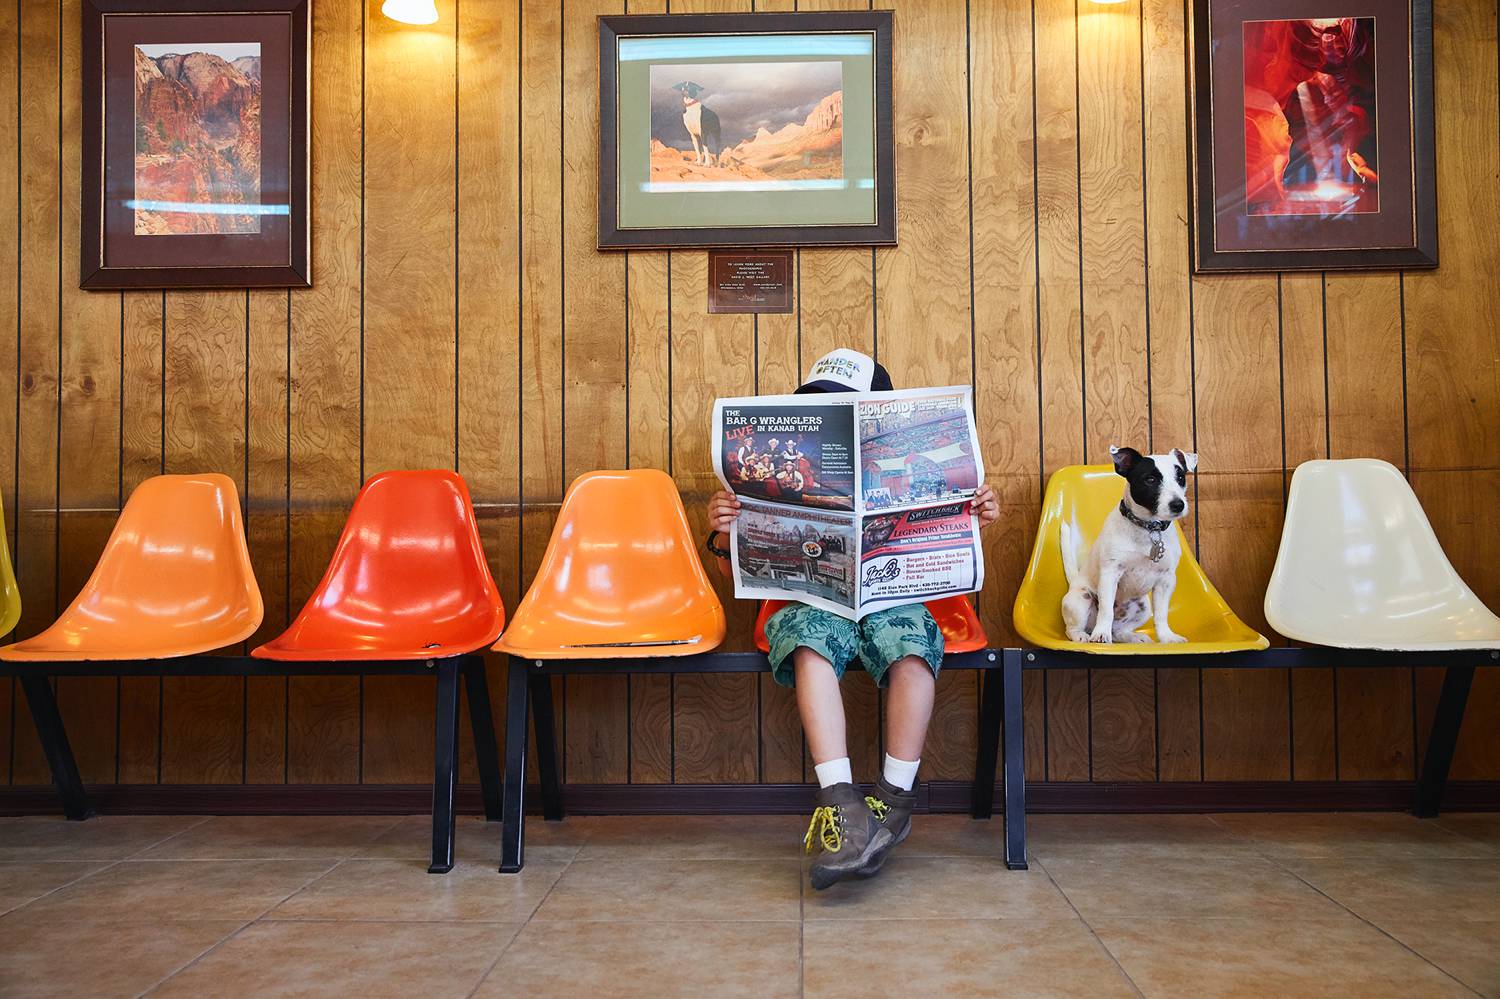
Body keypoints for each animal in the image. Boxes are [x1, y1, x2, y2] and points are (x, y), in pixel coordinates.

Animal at [1062, 444, 1200, 645]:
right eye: (1150, 479)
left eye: (1180, 478)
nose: (1178, 505)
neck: (1149, 529)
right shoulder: (1110, 573)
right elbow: (1106, 610)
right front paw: (1101, 634)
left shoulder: (1166, 580)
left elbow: (1161, 614)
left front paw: (1166, 637)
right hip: (1081, 598)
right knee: (1072, 628)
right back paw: (1083, 635)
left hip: (1143, 607)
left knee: (1118, 630)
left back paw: (1132, 636)